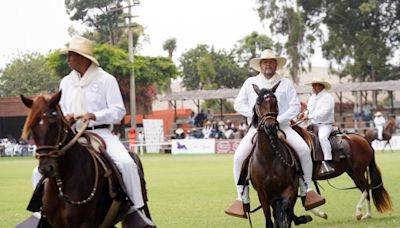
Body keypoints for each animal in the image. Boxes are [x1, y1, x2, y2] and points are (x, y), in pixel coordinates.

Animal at [250, 84, 312, 228]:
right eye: (258, 103)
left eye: (275, 101)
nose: (270, 126)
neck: (268, 157)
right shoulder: (262, 193)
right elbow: (269, 220)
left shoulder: (290, 188)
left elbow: (286, 208)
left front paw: (301, 218)